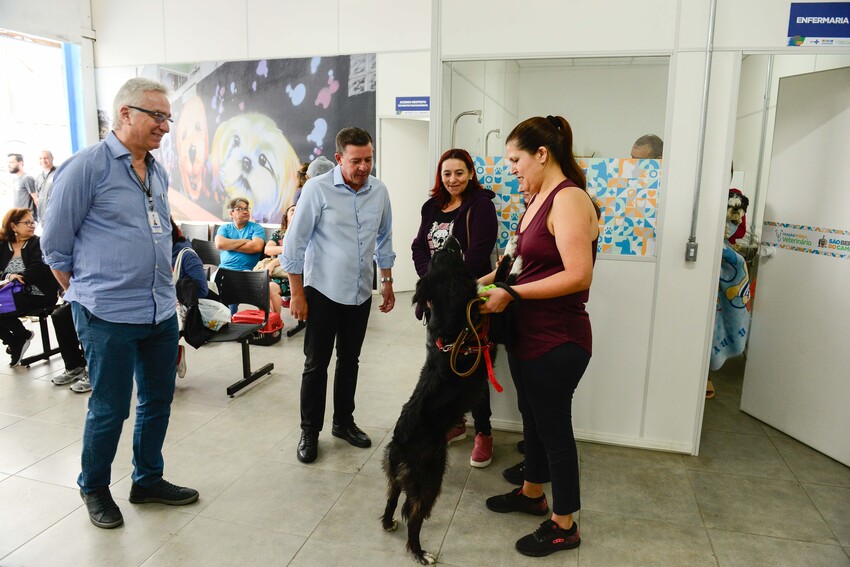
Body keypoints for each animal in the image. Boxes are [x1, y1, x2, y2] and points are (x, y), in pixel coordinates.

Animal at [380, 235, 486, 564]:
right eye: (448, 252)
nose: (449, 237)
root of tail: (399, 444)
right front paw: (510, 257)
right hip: (430, 477)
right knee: (414, 518)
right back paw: (420, 552)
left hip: (397, 476)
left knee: (391, 498)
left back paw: (388, 523)